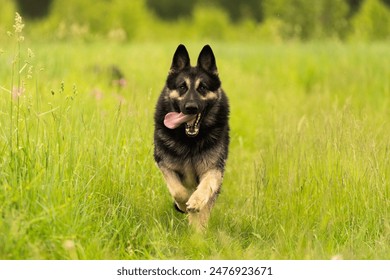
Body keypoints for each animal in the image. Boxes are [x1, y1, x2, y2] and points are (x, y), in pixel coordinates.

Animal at [154, 44, 230, 230]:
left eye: (202, 88)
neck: (190, 141)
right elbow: (177, 190)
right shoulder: (164, 164)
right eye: (182, 87)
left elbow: (206, 188)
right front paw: (182, 204)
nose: (191, 107)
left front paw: (196, 201)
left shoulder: (214, 169)